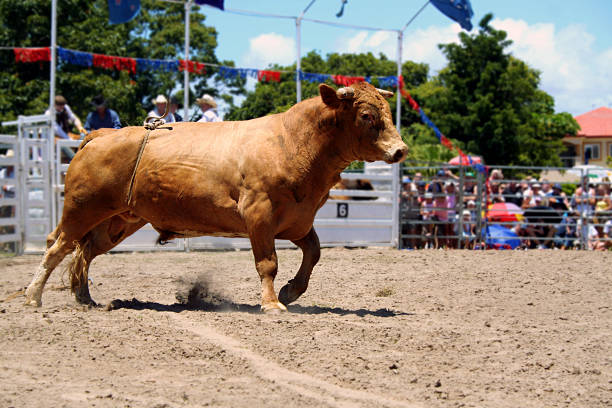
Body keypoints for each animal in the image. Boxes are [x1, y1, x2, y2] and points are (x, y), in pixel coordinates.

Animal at [23, 82, 406, 312]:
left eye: (387, 113)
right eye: (367, 115)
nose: (400, 149)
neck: (291, 142)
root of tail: (100, 135)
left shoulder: (298, 220)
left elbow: (313, 253)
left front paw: (291, 292)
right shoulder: (259, 215)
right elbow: (267, 263)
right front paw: (271, 304)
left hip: (119, 221)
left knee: (85, 251)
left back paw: (85, 298)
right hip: (81, 209)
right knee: (57, 246)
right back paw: (32, 296)